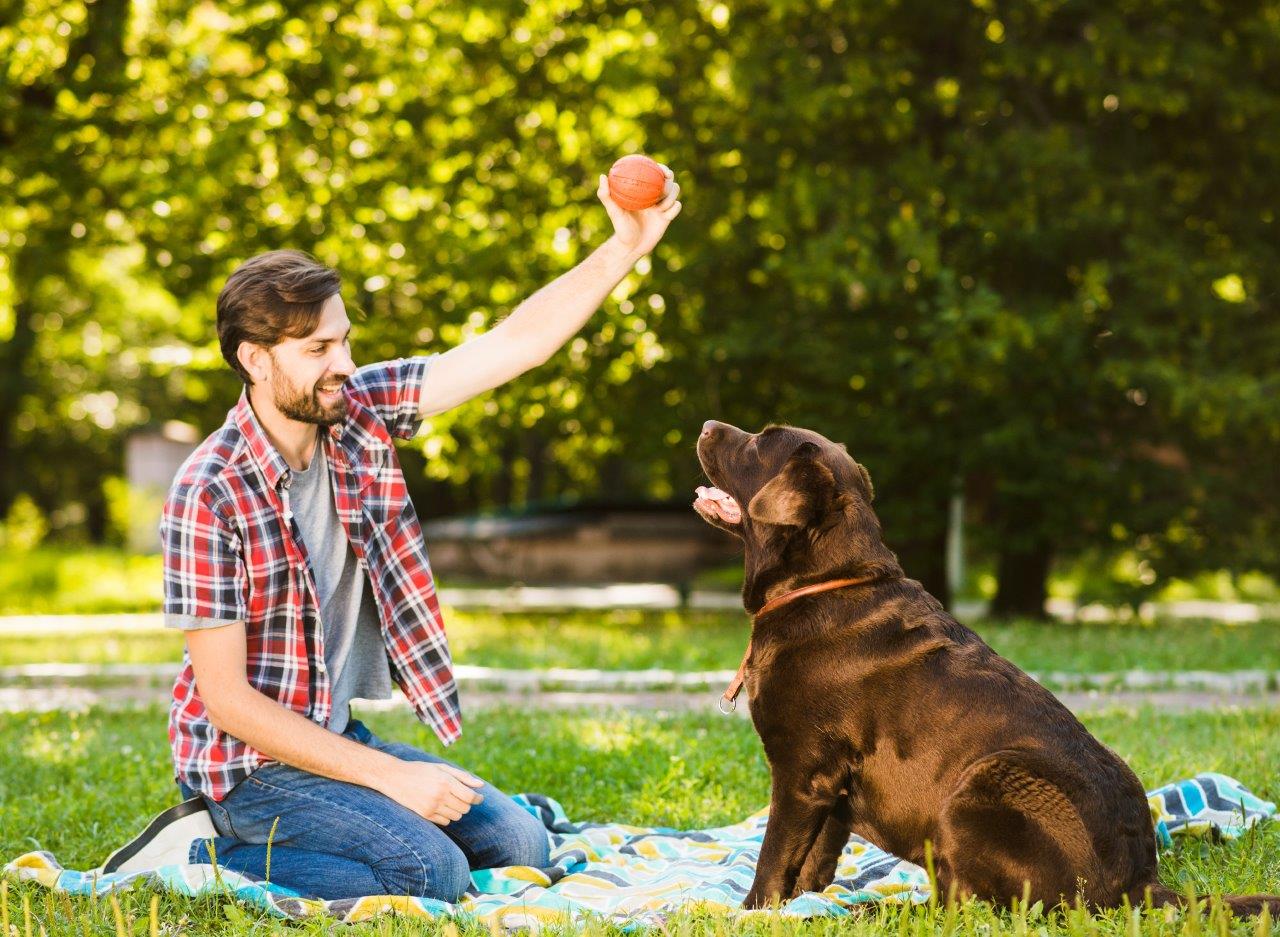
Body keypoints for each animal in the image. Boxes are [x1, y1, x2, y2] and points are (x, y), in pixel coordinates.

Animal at [701, 419, 1280, 911]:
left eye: (760, 441)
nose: (706, 426)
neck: (824, 582)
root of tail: (1139, 880)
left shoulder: (802, 771)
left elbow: (775, 855)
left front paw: (752, 912)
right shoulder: (830, 784)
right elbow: (816, 856)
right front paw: (807, 904)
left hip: (983, 785)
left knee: (970, 905)